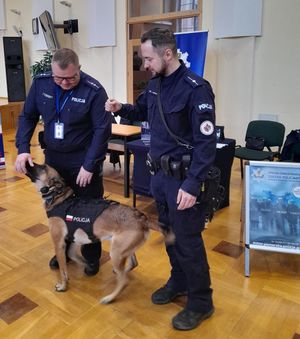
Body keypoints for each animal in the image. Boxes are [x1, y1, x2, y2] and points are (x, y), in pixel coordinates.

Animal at [25, 163, 171, 304]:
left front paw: (63, 286)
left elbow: (63, 270)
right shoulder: (73, 240)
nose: (25, 162)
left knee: (124, 281)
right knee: (132, 264)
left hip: (116, 252)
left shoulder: (59, 243)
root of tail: (142, 218)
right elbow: (73, 256)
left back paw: (110, 297)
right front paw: (86, 264)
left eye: (42, 167)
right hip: (121, 246)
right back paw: (119, 272)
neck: (59, 198)